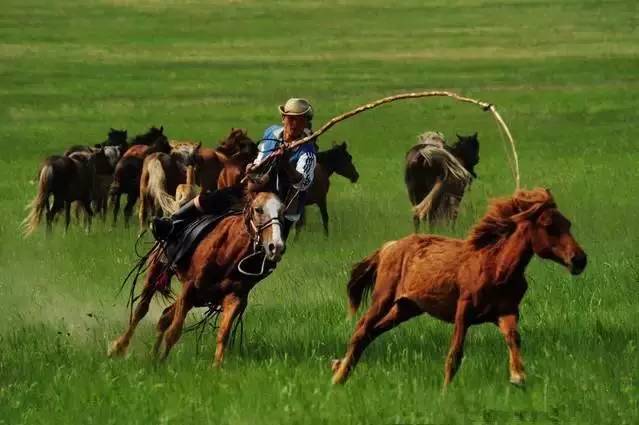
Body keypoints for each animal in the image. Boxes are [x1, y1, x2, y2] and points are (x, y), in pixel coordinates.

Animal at [109, 189, 286, 364]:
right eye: (258, 209)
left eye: (282, 212)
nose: (276, 247)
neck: (228, 253)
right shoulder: (189, 289)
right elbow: (174, 332)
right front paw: (162, 361)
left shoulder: (234, 297)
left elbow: (223, 334)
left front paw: (216, 366)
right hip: (156, 270)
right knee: (141, 310)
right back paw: (118, 347)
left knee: (165, 316)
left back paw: (152, 355)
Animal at [332, 187, 588, 386]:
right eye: (548, 226)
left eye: (567, 223)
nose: (579, 260)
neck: (496, 267)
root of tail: (389, 247)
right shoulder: (463, 311)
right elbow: (454, 355)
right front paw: (445, 394)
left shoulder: (506, 312)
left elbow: (513, 337)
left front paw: (518, 377)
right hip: (383, 300)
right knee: (361, 331)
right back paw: (338, 378)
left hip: (406, 308)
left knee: (370, 334)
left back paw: (339, 371)